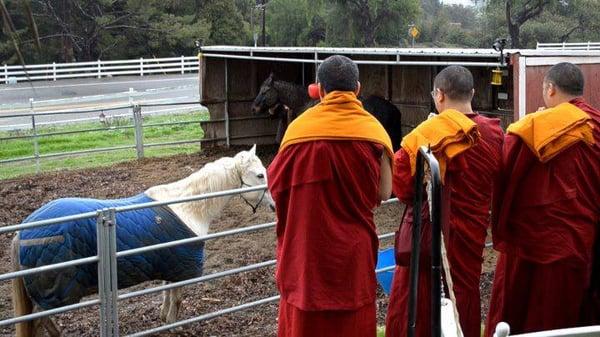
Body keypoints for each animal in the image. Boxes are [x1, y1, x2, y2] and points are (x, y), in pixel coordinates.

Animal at [12, 146, 274, 336]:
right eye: (260, 175)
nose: (273, 205)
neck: (187, 207)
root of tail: (22, 231)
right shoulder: (182, 269)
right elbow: (177, 299)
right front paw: (175, 326)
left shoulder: (172, 266)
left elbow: (167, 295)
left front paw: (165, 320)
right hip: (55, 295)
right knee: (41, 322)